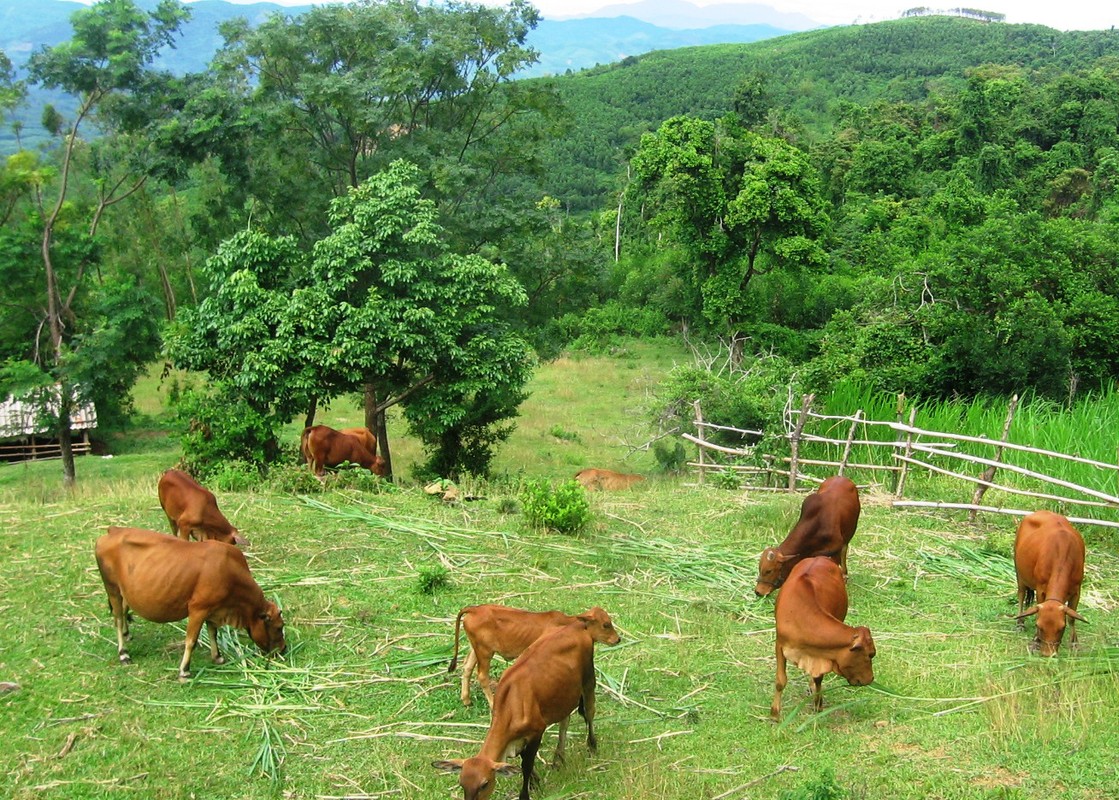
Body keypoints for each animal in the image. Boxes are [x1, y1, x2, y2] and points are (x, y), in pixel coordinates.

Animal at [93, 525, 284, 680]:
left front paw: (217, 657)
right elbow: (191, 641)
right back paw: (123, 653)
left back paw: (127, 634)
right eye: (279, 627)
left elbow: (213, 633)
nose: (284, 649)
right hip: (112, 588)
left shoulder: (213, 609)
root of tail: (113, 530)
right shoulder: (198, 609)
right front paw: (184, 670)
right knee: (118, 619)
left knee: (125, 610)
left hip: (125, 591)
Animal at [447, 608, 581, 707]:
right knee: (482, 676)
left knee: (467, 668)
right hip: (485, 651)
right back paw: (492, 703)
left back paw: (466, 700)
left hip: (476, 648)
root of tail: (475, 609)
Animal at [769, 557, 872, 720]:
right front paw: (774, 714)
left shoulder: (822, 654)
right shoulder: (779, 644)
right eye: (870, 655)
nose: (871, 679)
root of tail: (821, 557)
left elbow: (818, 679)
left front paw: (818, 705)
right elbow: (780, 680)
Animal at [1016, 512, 1083, 657]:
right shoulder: (1041, 588)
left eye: (1062, 627)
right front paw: (1035, 642)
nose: (1048, 654)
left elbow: (1072, 618)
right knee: (1021, 595)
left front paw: (1074, 644)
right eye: (1038, 626)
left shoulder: (1077, 590)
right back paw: (1020, 623)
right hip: (1020, 574)